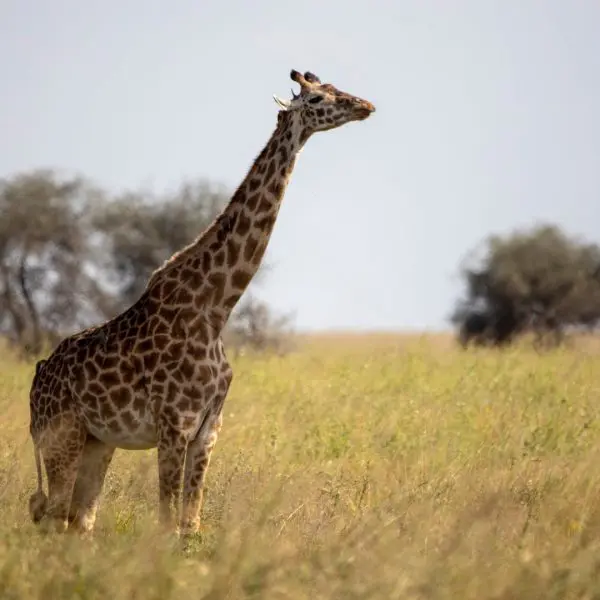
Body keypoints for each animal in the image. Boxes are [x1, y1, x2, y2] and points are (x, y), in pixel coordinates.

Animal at [29, 69, 376, 536]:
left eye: (337, 87)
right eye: (319, 98)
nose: (365, 106)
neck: (216, 308)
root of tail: (36, 381)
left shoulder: (209, 428)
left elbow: (189, 526)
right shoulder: (175, 424)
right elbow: (166, 525)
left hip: (97, 442)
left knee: (78, 522)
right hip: (59, 438)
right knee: (52, 517)